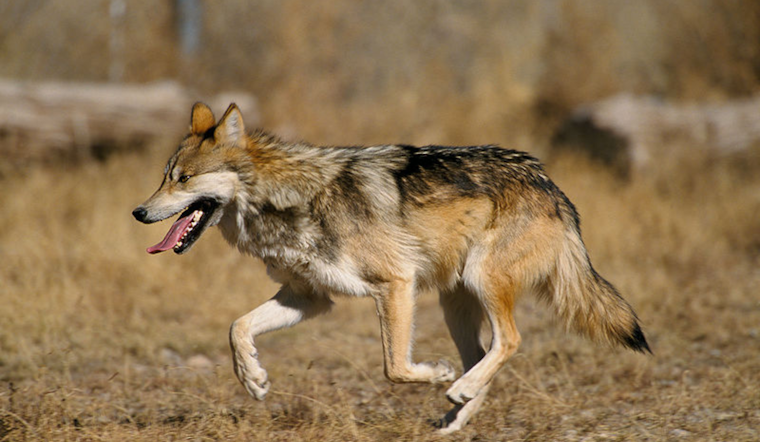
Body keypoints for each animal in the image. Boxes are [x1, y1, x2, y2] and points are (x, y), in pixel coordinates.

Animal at [132, 102, 650, 433]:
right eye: (163, 177)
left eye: (184, 179)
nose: (138, 212)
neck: (288, 199)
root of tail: (550, 184)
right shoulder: (309, 298)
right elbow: (237, 327)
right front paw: (253, 379)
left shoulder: (395, 284)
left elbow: (395, 368)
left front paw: (436, 373)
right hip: (455, 303)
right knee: (484, 354)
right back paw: (456, 413)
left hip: (480, 282)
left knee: (509, 341)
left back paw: (456, 387)